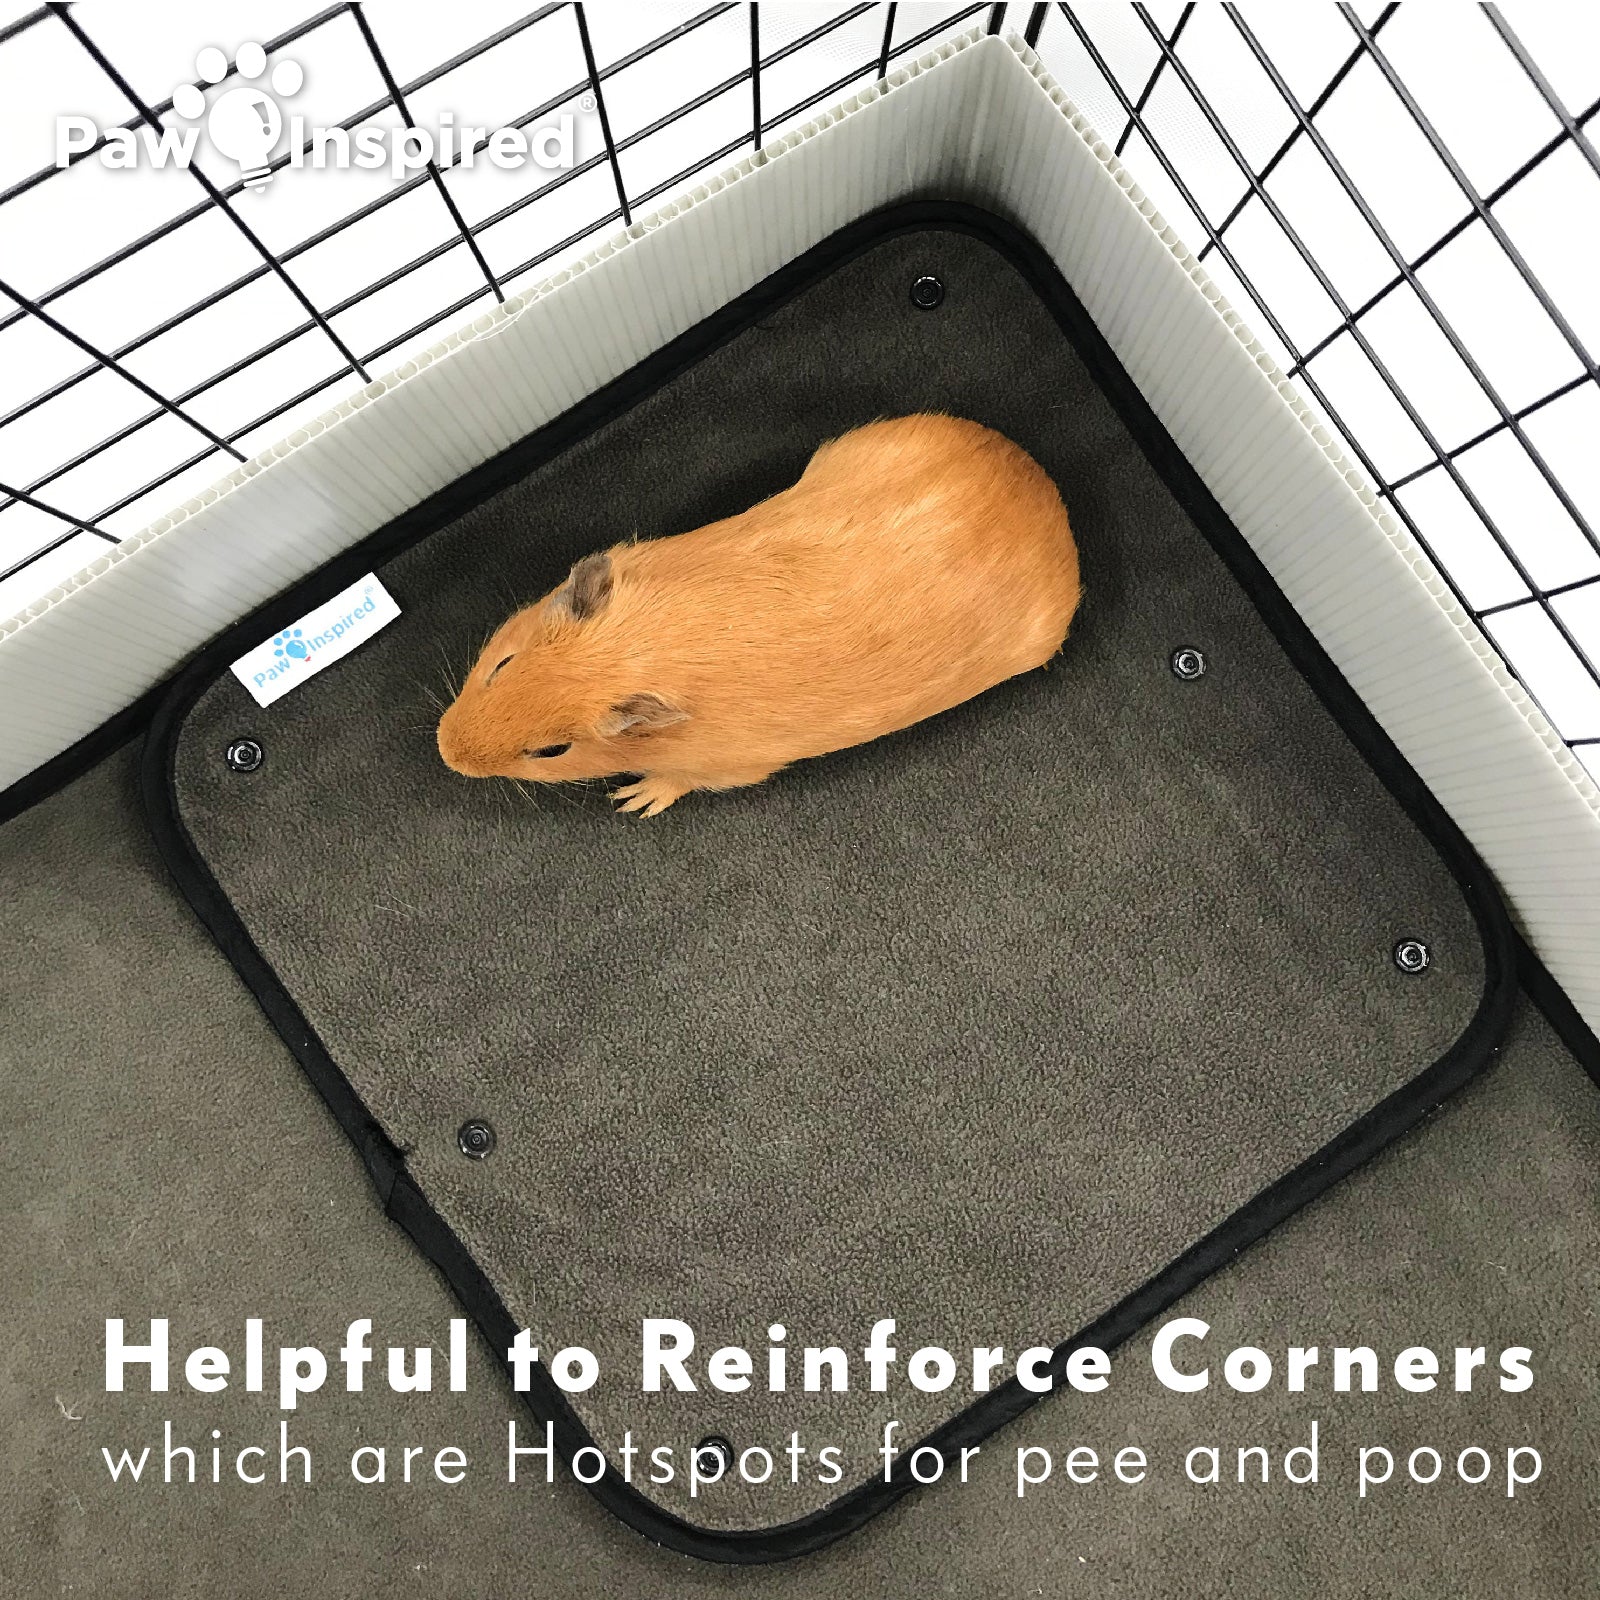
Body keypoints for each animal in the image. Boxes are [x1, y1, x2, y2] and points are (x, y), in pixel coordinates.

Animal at [436, 413, 1080, 815]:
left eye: (552, 752)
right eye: (501, 665)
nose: (446, 754)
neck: (648, 645)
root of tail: (1039, 479)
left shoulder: (728, 767)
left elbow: (678, 781)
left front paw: (633, 802)